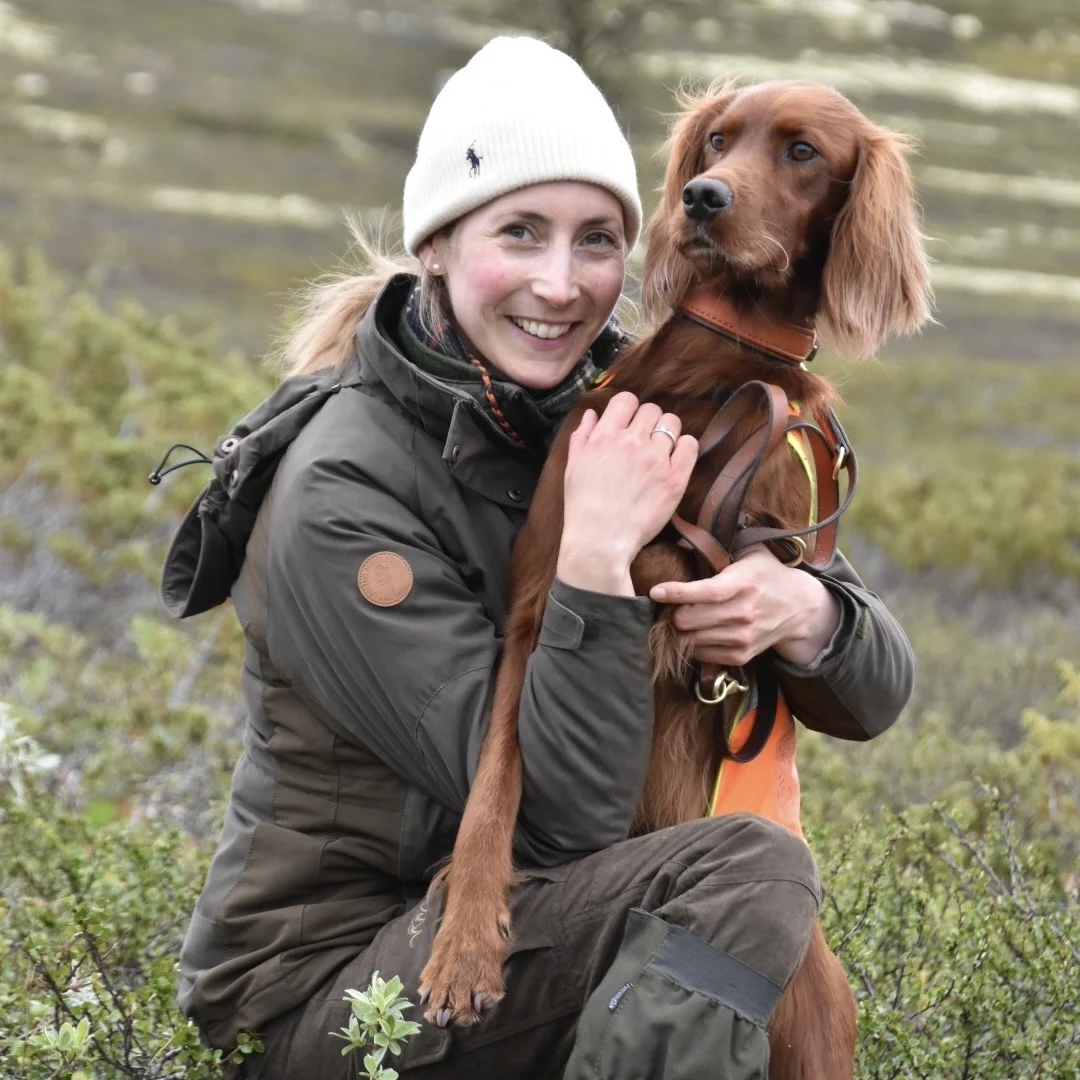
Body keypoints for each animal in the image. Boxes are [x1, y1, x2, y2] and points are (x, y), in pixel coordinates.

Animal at [416, 79, 933, 1075]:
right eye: (720, 140)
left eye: (803, 152)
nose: (704, 199)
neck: (721, 374)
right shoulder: (539, 605)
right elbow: (494, 783)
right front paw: (463, 946)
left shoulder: (755, 549)